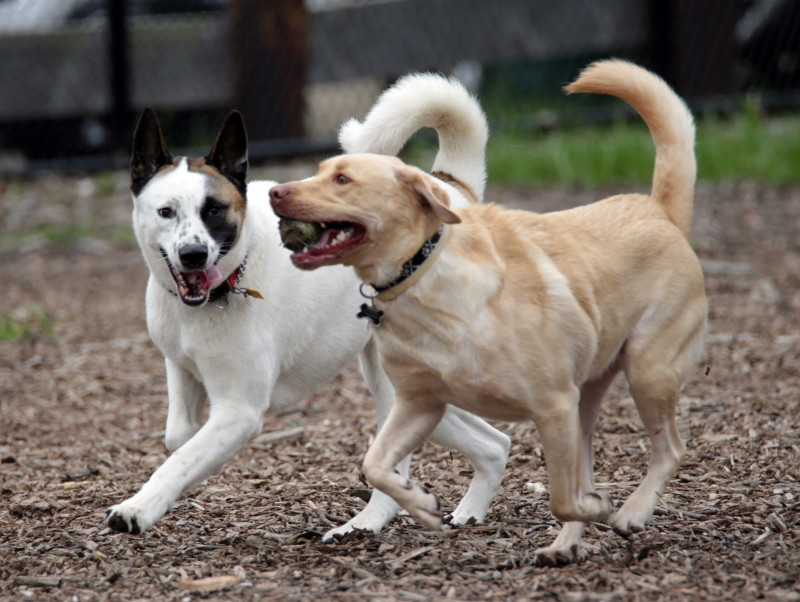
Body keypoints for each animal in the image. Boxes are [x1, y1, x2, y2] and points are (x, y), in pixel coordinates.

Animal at [103, 71, 510, 540]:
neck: (230, 281)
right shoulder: (180, 367)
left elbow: (180, 460)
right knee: (495, 444)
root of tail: (447, 187)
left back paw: (365, 524)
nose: (193, 255)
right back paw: (462, 514)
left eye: (214, 210)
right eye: (166, 211)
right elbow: (178, 438)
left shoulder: (240, 412)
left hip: (402, 384)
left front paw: (138, 508)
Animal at [268, 61, 708, 564]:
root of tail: (658, 211)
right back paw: (566, 543)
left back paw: (631, 513)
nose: (275, 191)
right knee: (590, 468)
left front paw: (600, 510)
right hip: (587, 399)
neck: (425, 276)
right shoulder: (419, 404)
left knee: (669, 449)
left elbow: (561, 496)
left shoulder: (553, 405)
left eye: (343, 179)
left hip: (647, 371)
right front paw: (420, 504)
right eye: (320, 171)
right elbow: (376, 463)